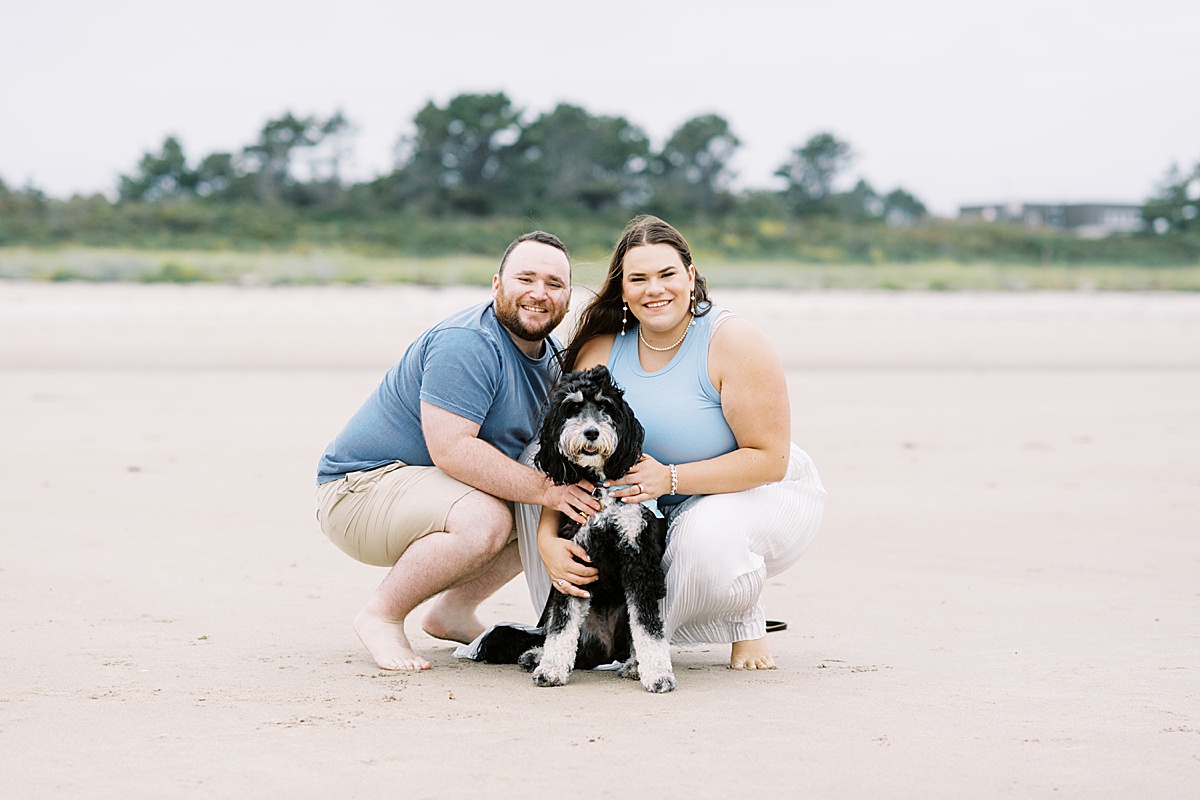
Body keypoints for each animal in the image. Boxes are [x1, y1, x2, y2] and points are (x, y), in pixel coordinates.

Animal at [475, 367, 681, 690]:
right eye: (572, 408)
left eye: (605, 406)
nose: (591, 432)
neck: (601, 486)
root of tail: (607, 649)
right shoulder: (573, 557)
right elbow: (563, 622)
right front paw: (551, 668)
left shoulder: (640, 559)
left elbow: (648, 625)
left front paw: (658, 674)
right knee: (570, 643)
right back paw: (536, 655)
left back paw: (635, 665)